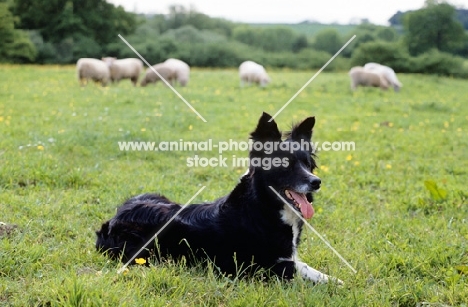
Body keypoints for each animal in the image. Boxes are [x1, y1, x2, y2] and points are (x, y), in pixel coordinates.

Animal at [96, 112, 340, 286]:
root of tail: (111, 220)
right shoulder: (251, 266)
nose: (316, 182)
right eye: (286, 165)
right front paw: (332, 280)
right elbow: (297, 265)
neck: (263, 207)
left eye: (307, 164)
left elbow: (299, 263)